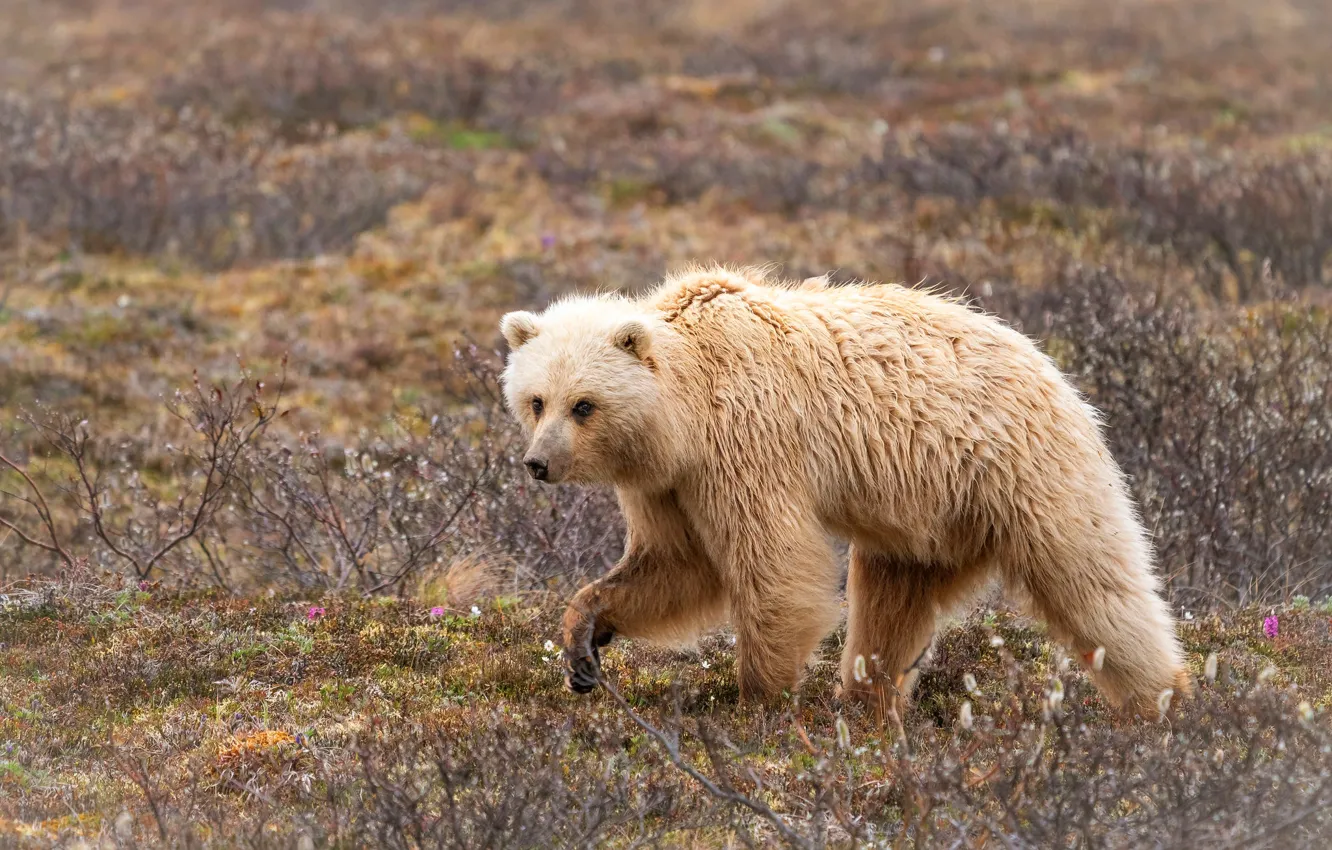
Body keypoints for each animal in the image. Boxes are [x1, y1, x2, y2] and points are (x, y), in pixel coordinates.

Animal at [498, 265, 1191, 718]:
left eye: (583, 405)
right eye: (536, 400)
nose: (538, 463)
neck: (685, 410)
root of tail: (1055, 370)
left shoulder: (749, 441)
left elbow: (775, 566)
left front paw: (758, 699)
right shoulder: (668, 483)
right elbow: (673, 564)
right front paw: (583, 641)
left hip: (1022, 472)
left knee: (1093, 583)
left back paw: (1162, 701)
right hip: (922, 523)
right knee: (889, 611)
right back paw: (865, 704)